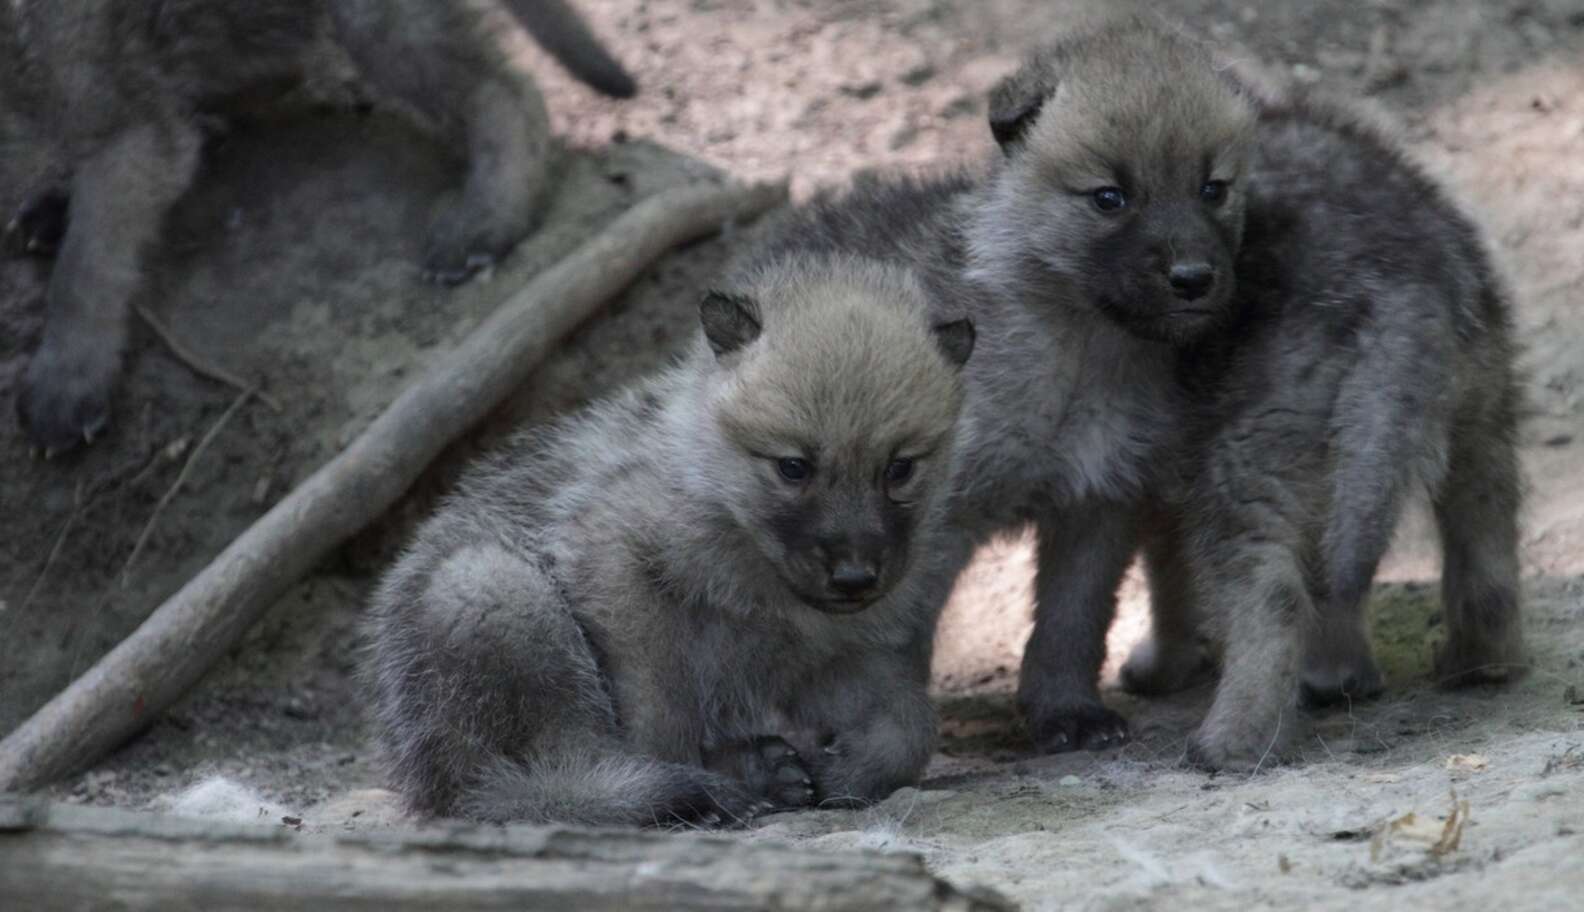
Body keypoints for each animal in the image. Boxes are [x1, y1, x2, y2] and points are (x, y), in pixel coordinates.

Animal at [6, 0, 636, 452]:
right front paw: (53, 207)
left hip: (378, 23)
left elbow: (86, 267)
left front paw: (67, 376)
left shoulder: (128, 134)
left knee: (508, 93)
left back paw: (488, 219)